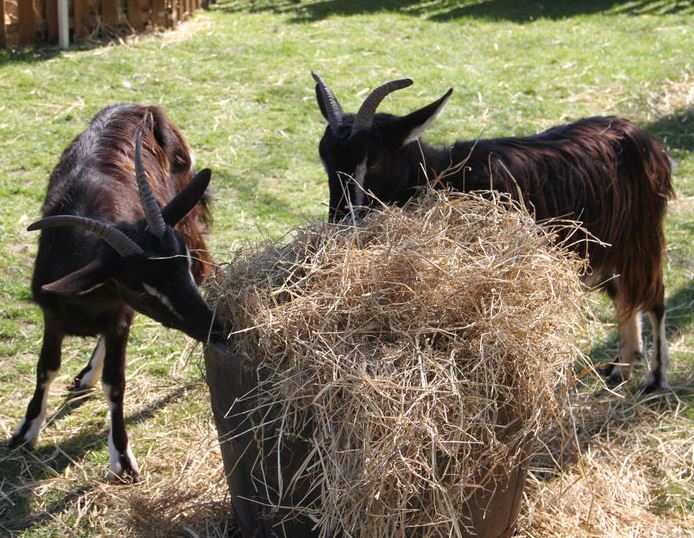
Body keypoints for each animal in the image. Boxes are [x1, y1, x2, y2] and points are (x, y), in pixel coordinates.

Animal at [11, 102, 223, 480]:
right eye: (141, 288)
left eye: (181, 262)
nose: (216, 328)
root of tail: (143, 106)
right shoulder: (54, 315)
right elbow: (46, 368)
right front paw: (26, 431)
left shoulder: (119, 319)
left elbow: (116, 383)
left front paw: (122, 459)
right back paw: (86, 375)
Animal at [314, 73, 676, 392]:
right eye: (326, 160)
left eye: (372, 161)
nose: (342, 220)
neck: (442, 174)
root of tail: (641, 137)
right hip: (605, 244)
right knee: (624, 296)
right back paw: (620, 368)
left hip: (640, 235)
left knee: (654, 298)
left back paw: (655, 378)